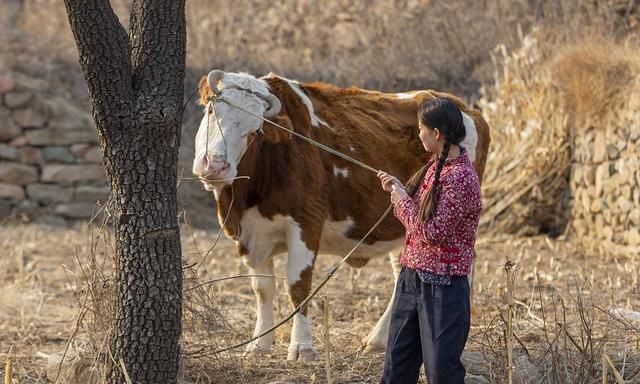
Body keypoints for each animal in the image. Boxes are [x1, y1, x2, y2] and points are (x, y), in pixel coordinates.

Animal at [190, 70, 490, 362]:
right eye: (212, 111)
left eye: (254, 131)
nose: (215, 166)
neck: (247, 200)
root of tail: (463, 106)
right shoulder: (250, 235)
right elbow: (262, 289)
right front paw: (258, 345)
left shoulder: (306, 221)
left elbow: (298, 287)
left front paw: (301, 347)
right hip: (406, 227)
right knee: (401, 272)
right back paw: (378, 339)